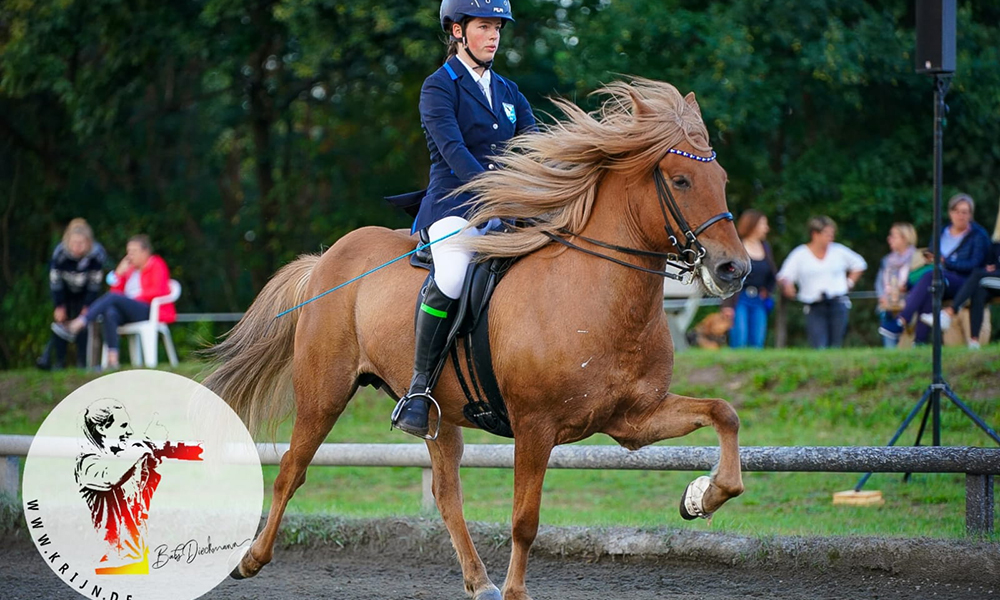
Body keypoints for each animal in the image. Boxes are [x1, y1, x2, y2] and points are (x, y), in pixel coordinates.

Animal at [203, 79, 752, 600]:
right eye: (680, 180)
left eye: (722, 180)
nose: (734, 269)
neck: (595, 294)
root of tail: (325, 261)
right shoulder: (535, 426)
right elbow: (525, 520)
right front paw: (516, 591)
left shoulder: (632, 420)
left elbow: (724, 413)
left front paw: (701, 496)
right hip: (324, 392)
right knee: (291, 469)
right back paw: (250, 560)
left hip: (439, 413)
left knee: (447, 494)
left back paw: (478, 580)